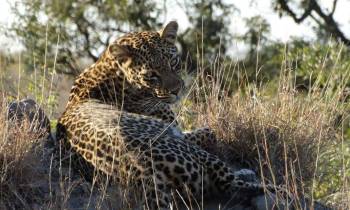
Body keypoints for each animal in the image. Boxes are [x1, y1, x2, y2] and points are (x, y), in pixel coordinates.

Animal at [56, 20, 284, 208]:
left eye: (173, 62)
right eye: (152, 75)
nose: (176, 90)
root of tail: (145, 174)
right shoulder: (178, 131)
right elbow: (209, 131)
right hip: (197, 155)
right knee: (233, 183)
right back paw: (269, 184)